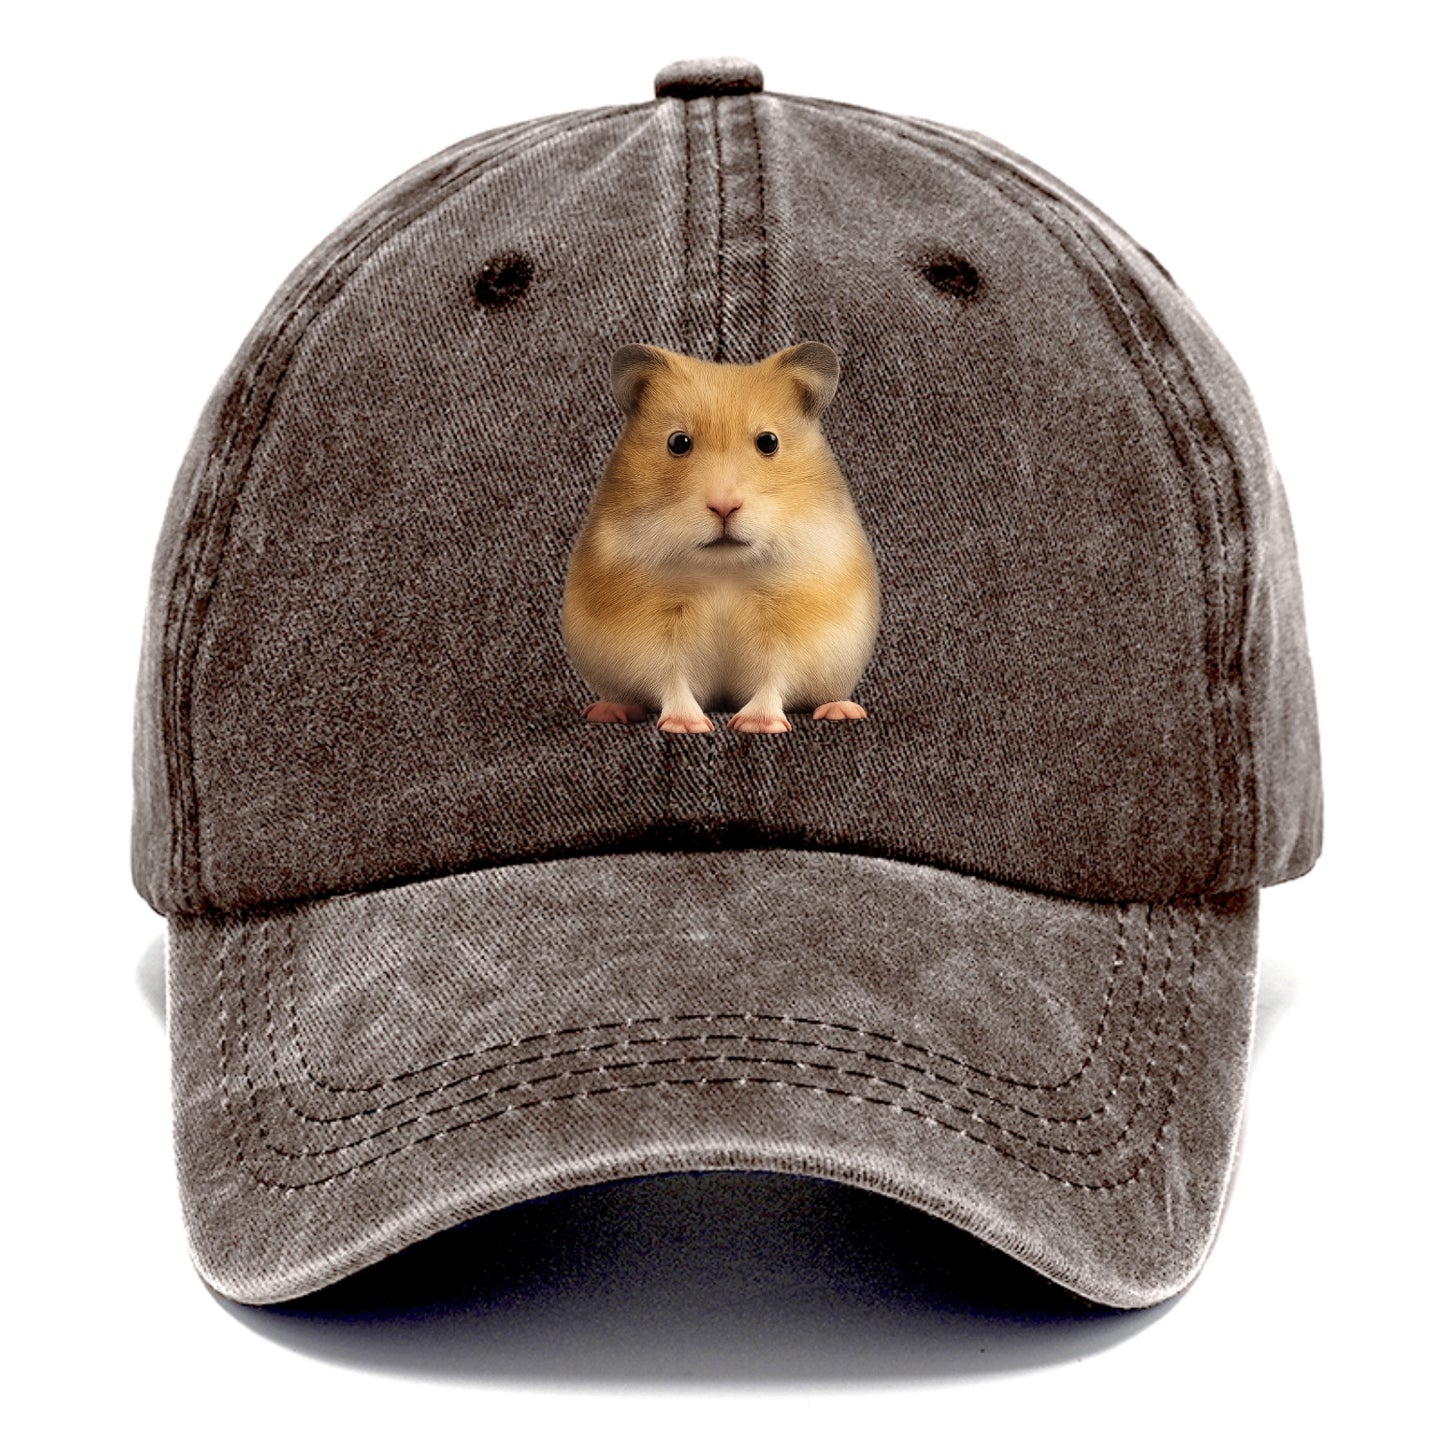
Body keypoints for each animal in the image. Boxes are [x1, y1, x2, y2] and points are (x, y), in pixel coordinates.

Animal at [562, 342, 880, 734]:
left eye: (768, 442)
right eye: (678, 442)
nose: (724, 507)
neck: (723, 569)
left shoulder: (790, 628)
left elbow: (774, 676)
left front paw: (756, 725)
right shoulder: (651, 635)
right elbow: (670, 677)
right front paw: (687, 725)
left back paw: (842, 710)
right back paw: (608, 711)